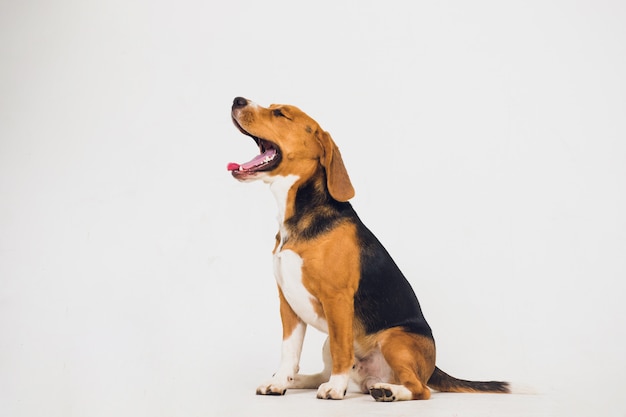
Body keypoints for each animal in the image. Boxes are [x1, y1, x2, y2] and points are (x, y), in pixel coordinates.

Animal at [225, 95, 508, 400]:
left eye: (280, 113)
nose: (238, 100)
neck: (298, 215)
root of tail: (432, 367)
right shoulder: (287, 302)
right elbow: (289, 351)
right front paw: (279, 382)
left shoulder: (337, 299)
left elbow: (341, 350)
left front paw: (335, 388)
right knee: (331, 371)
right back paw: (300, 380)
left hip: (394, 339)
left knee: (419, 389)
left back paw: (387, 391)